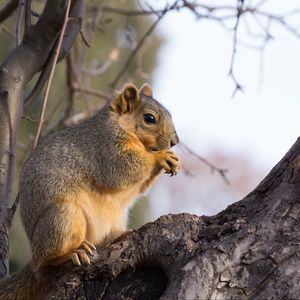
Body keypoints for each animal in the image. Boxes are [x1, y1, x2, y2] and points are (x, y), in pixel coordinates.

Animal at [0, 82, 179, 300]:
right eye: (149, 118)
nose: (175, 141)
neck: (121, 125)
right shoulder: (105, 147)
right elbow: (123, 168)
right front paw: (161, 157)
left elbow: (140, 187)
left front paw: (173, 161)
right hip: (63, 217)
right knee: (46, 262)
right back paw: (69, 253)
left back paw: (119, 236)